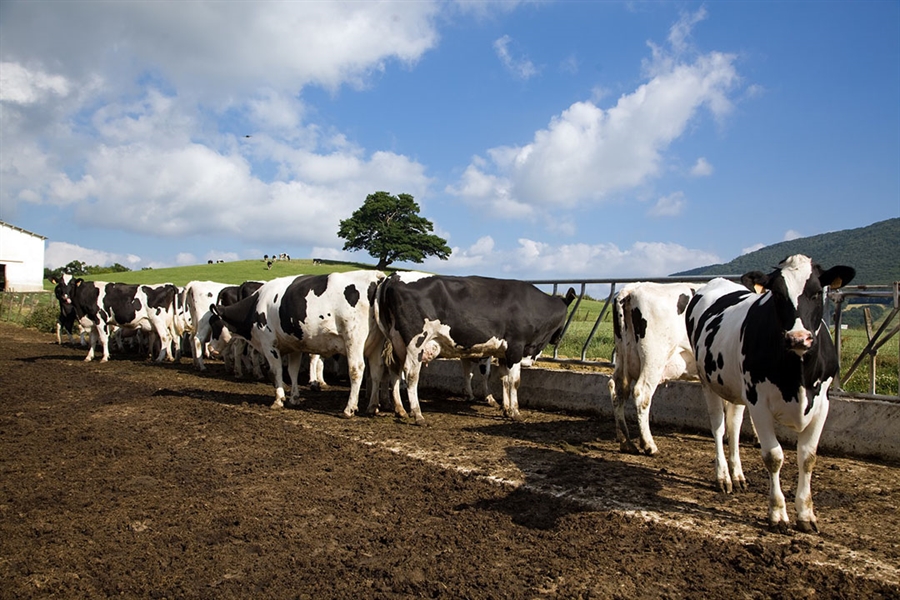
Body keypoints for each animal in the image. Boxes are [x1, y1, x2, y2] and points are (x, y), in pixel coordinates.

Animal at [209, 270, 384, 414]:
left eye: (213, 323)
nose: (210, 348)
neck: (258, 305)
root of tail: (375, 277)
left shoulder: (269, 344)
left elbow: (277, 371)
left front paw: (279, 400)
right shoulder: (294, 346)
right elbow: (292, 371)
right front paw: (294, 398)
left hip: (353, 339)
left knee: (356, 370)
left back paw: (349, 408)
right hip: (376, 344)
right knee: (376, 371)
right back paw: (372, 406)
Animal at [374, 274, 576, 424]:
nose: (557, 338)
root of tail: (393, 277)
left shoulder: (504, 353)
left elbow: (504, 380)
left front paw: (506, 409)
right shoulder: (516, 348)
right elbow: (514, 382)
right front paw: (515, 412)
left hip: (396, 343)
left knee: (394, 371)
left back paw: (400, 410)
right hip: (416, 343)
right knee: (410, 375)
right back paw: (417, 414)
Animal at [604, 282, 704, 454]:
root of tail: (631, 289)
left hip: (623, 356)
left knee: (617, 390)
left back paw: (626, 442)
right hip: (654, 359)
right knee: (642, 393)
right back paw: (648, 444)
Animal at [684, 254, 856, 536]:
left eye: (816, 291)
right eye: (776, 293)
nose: (798, 338)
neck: (798, 375)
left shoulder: (822, 404)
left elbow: (808, 458)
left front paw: (806, 514)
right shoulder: (759, 404)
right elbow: (773, 457)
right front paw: (777, 514)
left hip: (736, 388)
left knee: (734, 427)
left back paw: (738, 476)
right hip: (709, 382)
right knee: (719, 428)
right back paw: (723, 477)